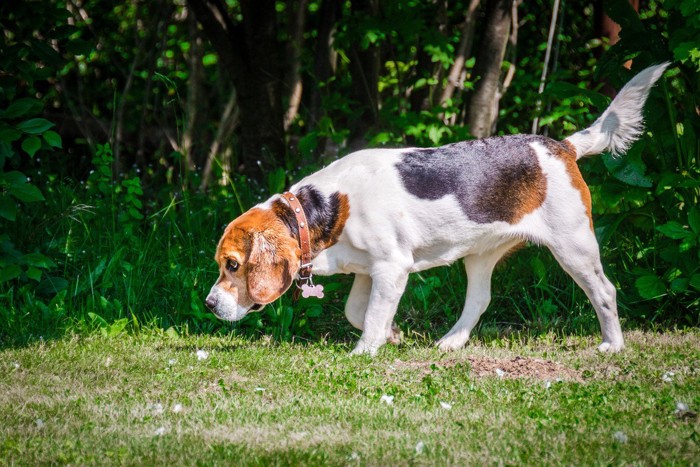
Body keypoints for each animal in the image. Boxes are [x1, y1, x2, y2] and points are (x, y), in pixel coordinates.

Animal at [206, 64, 668, 356]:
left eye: (233, 265)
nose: (209, 305)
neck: (321, 209)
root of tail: (562, 146)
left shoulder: (391, 268)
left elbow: (369, 317)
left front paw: (365, 351)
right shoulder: (368, 272)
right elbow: (358, 312)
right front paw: (392, 334)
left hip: (574, 246)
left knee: (605, 292)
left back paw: (612, 345)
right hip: (481, 254)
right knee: (479, 299)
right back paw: (452, 341)